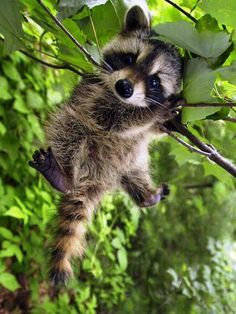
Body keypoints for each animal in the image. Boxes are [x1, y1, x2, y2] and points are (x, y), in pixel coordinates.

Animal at [28, 5, 182, 284]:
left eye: (155, 81)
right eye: (129, 58)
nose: (125, 87)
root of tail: (93, 180)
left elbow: (151, 133)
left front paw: (162, 122)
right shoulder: (93, 92)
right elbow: (111, 119)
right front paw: (151, 114)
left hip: (131, 163)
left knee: (135, 173)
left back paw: (146, 195)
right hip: (76, 128)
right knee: (70, 127)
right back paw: (63, 176)